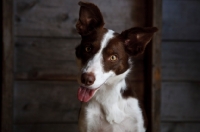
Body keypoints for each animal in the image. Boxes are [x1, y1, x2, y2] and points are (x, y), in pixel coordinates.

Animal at [75, 1, 158, 132]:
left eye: (113, 57)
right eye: (87, 48)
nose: (86, 79)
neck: (108, 97)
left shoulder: (137, 123)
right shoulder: (86, 123)